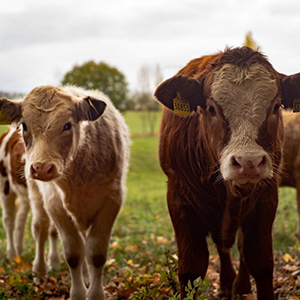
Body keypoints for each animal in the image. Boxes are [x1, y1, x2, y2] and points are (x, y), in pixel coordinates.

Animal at [0, 125, 60, 268]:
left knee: (21, 217)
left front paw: (54, 262)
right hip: (5, 184)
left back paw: (19, 251)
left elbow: (54, 230)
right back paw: (11, 254)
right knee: (8, 219)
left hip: (25, 195)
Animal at [155, 45, 300, 298]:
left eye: (275, 107)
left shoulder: (266, 198)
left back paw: (239, 286)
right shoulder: (179, 200)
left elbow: (260, 262)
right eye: (211, 108)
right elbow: (191, 268)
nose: (248, 162)